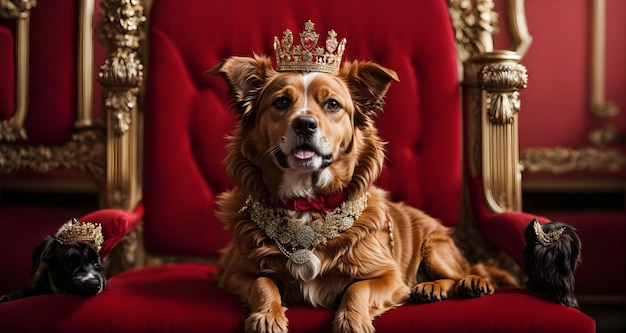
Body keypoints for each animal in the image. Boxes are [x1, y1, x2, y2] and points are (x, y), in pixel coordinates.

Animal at [207, 24, 516, 330]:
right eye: (281, 102)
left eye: (332, 104)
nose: (305, 124)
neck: (308, 203)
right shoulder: (233, 272)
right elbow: (263, 282)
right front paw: (268, 316)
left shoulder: (390, 275)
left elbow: (358, 288)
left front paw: (351, 319)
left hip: (435, 248)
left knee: (460, 273)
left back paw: (453, 285)